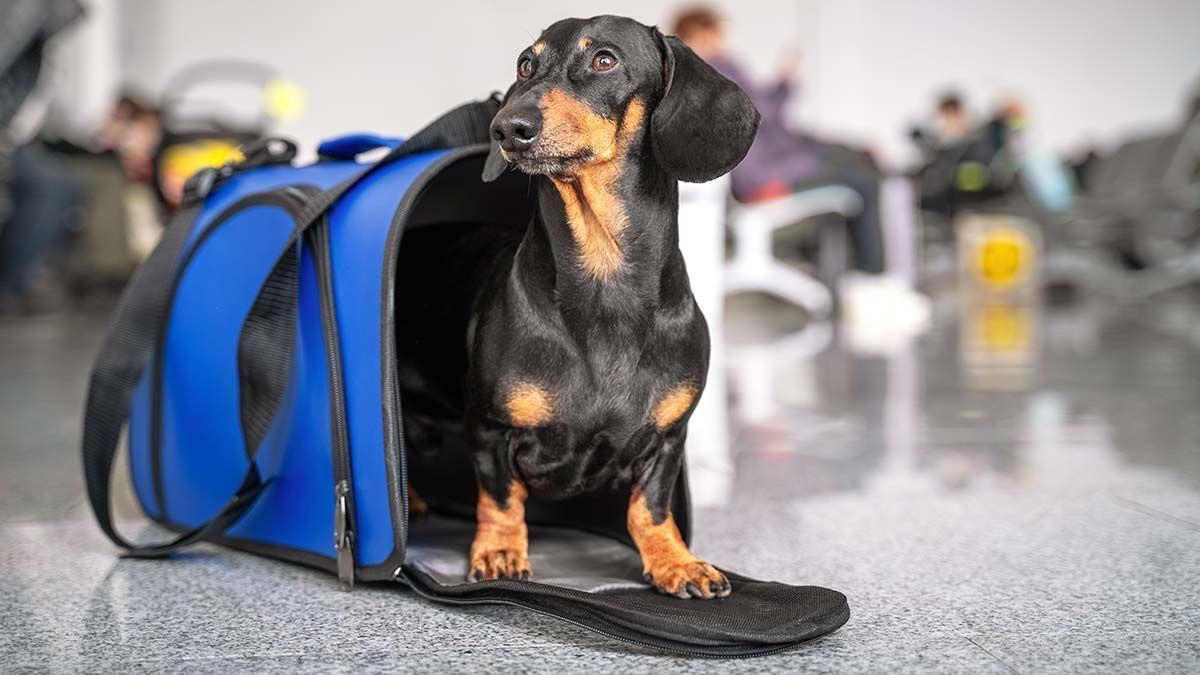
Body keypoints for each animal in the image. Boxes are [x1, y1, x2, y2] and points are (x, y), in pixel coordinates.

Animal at [400, 14, 758, 593]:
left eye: (604, 60)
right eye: (526, 64)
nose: (507, 128)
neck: (604, 276)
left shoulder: (668, 439)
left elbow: (650, 508)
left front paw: (674, 561)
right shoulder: (490, 428)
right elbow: (501, 498)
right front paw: (499, 552)